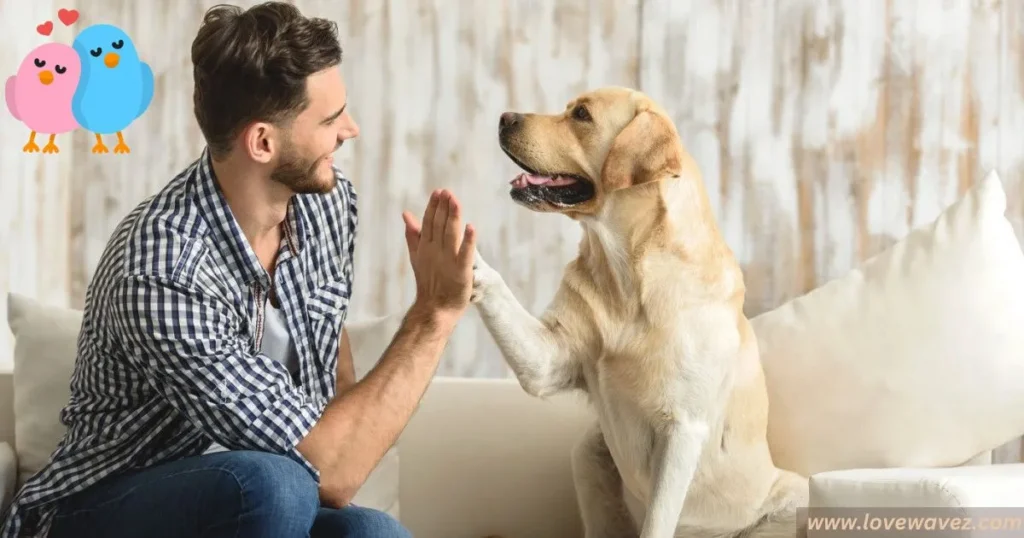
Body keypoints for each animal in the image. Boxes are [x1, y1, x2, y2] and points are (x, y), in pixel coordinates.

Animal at [468, 88, 806, 536]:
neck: (627, 276)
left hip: (791, 495)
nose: (505, 118)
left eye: (581, 115)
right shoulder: (548, 360)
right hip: (588, 454)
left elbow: (658, 521)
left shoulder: (682, 429)